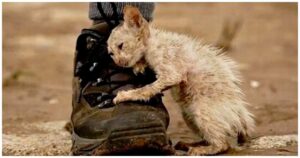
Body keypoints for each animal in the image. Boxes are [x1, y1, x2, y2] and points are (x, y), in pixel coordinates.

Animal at [106, 5, 254, 156]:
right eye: (111, 54)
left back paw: (199, 150)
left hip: (201, 111)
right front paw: (139, 65)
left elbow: (146, 89)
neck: (152, 42)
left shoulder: (171, 74)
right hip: (188, 115)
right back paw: (188, 144)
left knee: (223, 144)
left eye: (121, 45)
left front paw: (125, 95)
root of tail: (240, 113)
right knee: (210, 138)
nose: (118, 62)